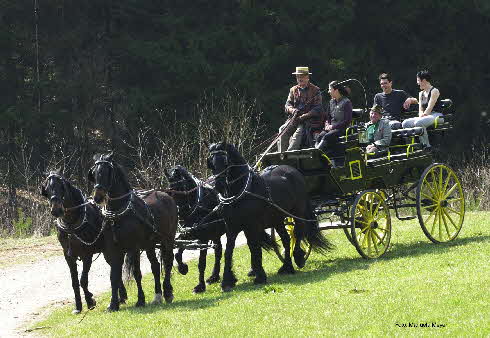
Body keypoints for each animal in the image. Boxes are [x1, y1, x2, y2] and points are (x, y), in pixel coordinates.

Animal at [40, 170, 127, 312]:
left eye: (62, 188)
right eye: (47, 190)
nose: (56, 210)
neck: (71, 223)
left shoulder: (87, 254)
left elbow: (83, 280)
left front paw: (90, 301)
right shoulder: (68, 256)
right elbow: (74, 282)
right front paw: (78, 306)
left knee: (115, 267)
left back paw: (121, 297)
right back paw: (122, 296)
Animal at [89, 153, 179, 312]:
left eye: (107, 172)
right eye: (93, 173)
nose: (97, 197)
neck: (118, 214)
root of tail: (166, 194)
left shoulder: (134, 248)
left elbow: (137, 273)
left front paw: (140, 300)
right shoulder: (113, 250)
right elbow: (114, 276)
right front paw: (113, 304)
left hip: (168, 239)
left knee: (168, 262)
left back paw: (168, 293)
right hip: (149, 244)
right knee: (155, 266)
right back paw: (157, 296)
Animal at [205, 142, 332, 290]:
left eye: (226, 161)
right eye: (211, 162)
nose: (219, 185)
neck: (242, 191)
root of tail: (292, 170)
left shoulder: (252, 226)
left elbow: (255, 248)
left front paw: (260, 276)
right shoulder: (232, 227)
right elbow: (229, 251)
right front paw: (227, 281)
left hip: (297, 212)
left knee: (298, 231)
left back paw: (298, 257)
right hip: (277, 219)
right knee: (286, 239)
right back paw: (287, 267)